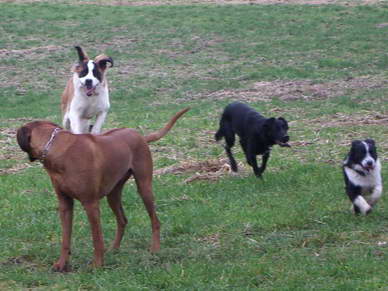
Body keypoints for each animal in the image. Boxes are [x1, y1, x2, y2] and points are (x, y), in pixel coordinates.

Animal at [16, 108, 189, 272]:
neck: (57, 147)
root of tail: (140, 136)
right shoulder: (65, 205)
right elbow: (65, 239)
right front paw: (61, 264)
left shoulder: (90, 203)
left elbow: (97, 239)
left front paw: (97, 265)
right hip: (113, 193)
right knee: (122, 220)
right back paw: (114, 249)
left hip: (144, 187)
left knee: (155, 221)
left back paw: (155, 249)